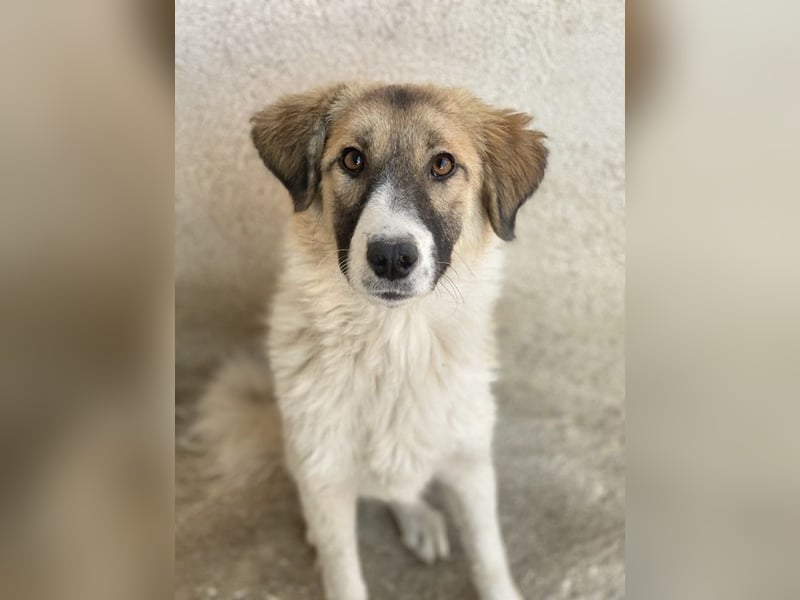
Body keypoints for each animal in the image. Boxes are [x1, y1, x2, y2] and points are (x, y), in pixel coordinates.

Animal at [245, 82, 547, 600]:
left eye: (443, 164)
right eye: (352, 159)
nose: (390, 257)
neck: (395, 345)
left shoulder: (470, 461)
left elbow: (489, 556)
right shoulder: (323, 474)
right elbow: (344, 574)